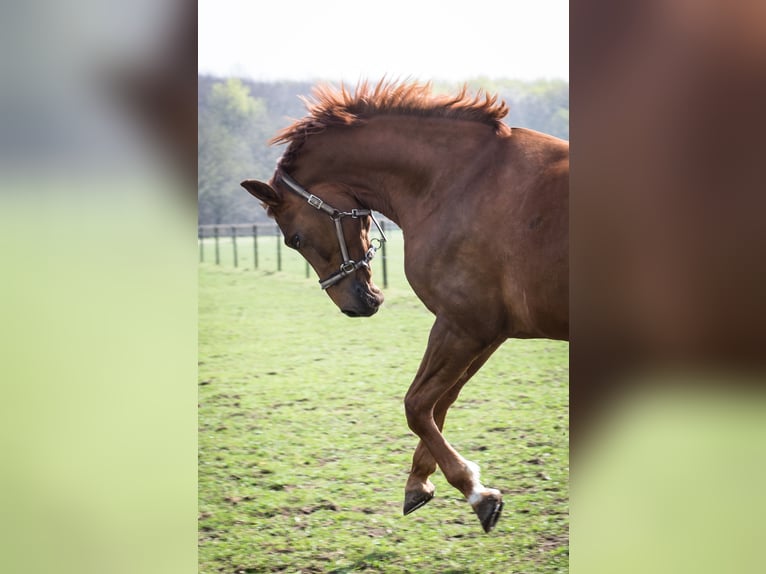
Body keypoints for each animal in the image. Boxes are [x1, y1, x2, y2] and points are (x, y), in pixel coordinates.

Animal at [241, 80, 569, 533]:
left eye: (294, 239)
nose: (357, 304)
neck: (459, 182)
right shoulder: (486, 332)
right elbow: (438, 404)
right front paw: (420, 483)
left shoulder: (462, 326)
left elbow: (417, 406)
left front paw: (477, 493)